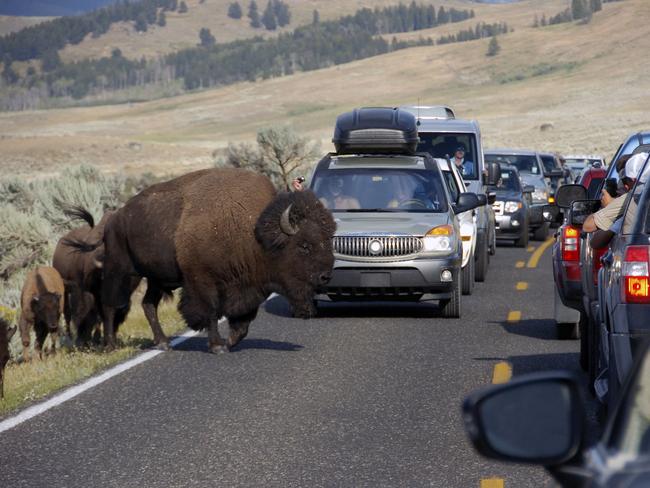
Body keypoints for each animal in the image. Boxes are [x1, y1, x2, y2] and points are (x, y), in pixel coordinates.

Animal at [69, 170, 334, 352]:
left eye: (327, 239)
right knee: (110, 304)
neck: (253, 232)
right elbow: (211, 312)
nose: (326, 275)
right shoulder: (203, 282)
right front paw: (217, 345)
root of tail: (113, 218)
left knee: (147, 304)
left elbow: (243, 322)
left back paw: (163, 343)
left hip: (156, 279)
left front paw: (229, 342)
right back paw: (110, 345)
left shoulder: (247, 287)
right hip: (123, 271)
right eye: (304, 245)